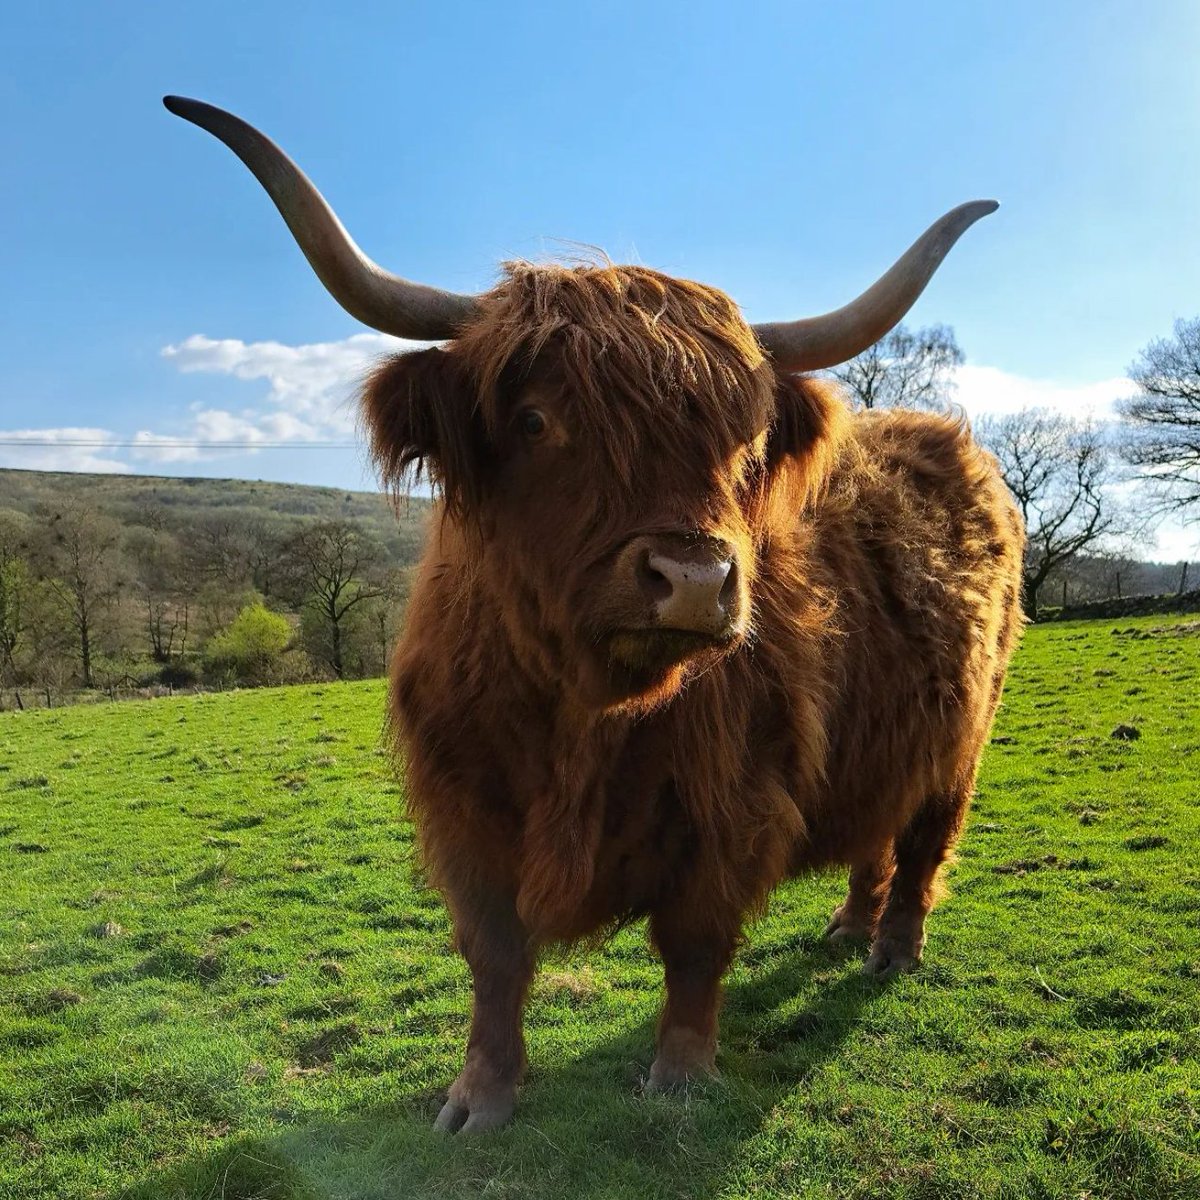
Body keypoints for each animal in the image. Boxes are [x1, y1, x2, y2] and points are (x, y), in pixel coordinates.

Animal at [166, 97, 1026, 1133]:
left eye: (744, 445)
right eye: (537, 421)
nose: (693, 578)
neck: (578, 714)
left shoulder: (730, 804)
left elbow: (694, 945)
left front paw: (681, 1079)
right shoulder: (466, 809)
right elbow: (494, 957)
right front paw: (479, 1096)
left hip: (965, 737)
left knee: (925, 838)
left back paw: (891, 948)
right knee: (873, 829)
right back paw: (846, 925)